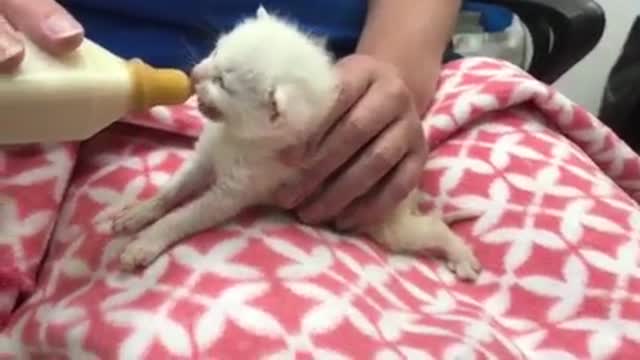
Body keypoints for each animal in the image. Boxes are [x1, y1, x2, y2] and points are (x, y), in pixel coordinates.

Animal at [111, 6, 480, 282]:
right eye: (215, 50)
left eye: (222, 83)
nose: (193, 74)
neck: (240, 137)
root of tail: (410, 197)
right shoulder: (207, 157)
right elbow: (175, 189)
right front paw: (140, 212)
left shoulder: (237, 190)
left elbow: (187, 215)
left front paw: (147, 242)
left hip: (388, 220)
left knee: (431, 229)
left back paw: (461, 255)